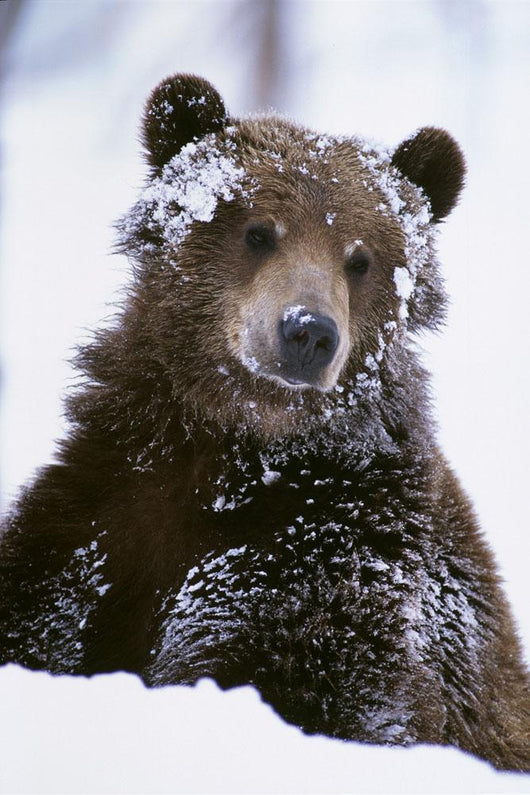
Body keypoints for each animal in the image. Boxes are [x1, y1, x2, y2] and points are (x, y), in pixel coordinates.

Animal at [1, 73, 529, 772]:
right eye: (258, 231)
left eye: (360, 258)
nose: (309, 332)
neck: (237, 447)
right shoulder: (103, 510)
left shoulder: (327, 559)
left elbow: (311, 681)